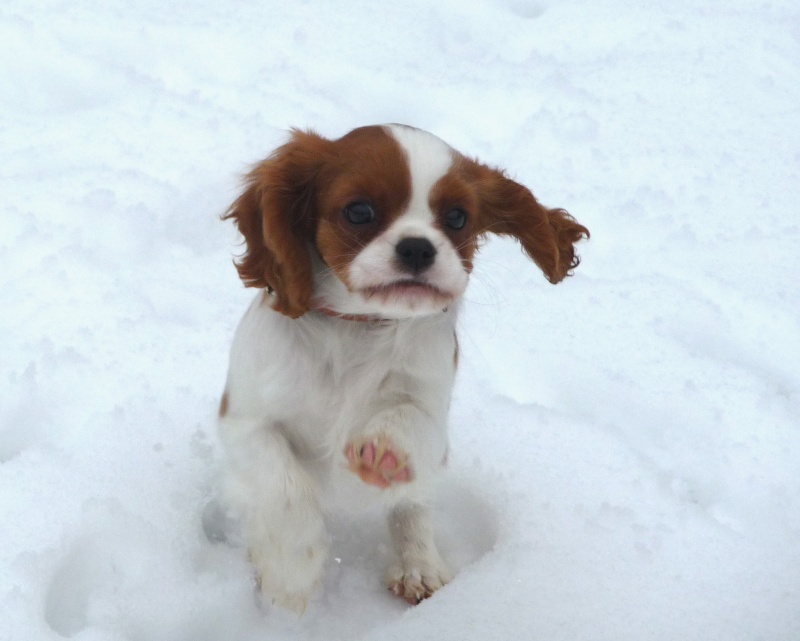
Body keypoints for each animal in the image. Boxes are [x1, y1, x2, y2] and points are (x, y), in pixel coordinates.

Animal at [216, 125, 592, 608]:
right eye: (359, 211)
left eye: (456, 218)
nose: (417, 247)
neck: (360, 325)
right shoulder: (244, 420)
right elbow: (285, 488)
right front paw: (291, 573)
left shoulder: (431, 411)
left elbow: (409, 420)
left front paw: (384, 449)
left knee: (412, 507)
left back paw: (419, 565)